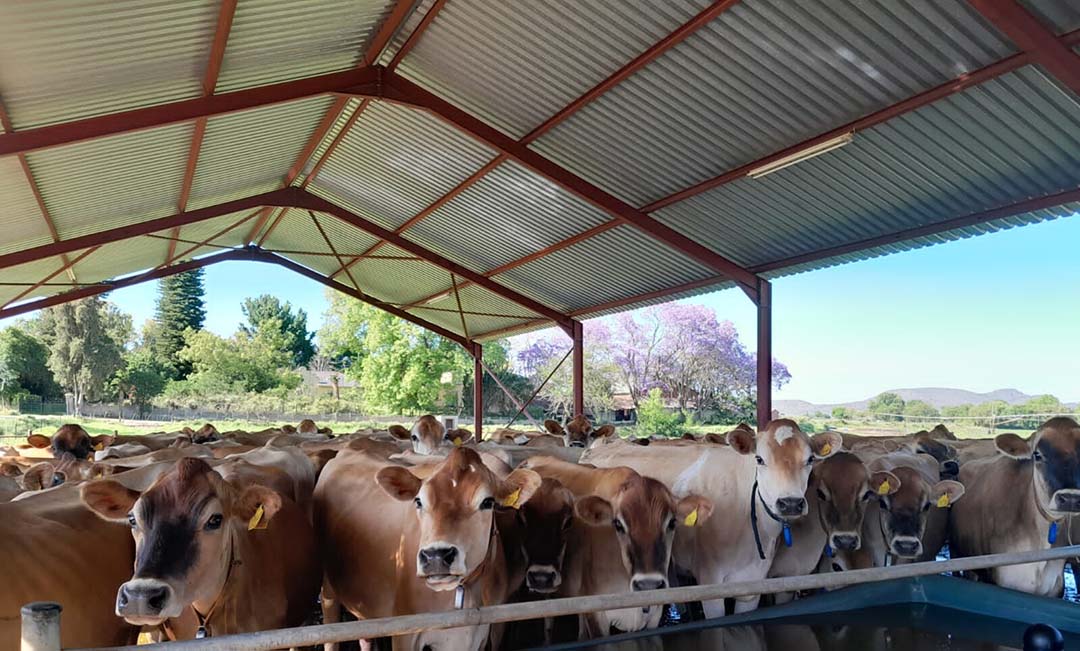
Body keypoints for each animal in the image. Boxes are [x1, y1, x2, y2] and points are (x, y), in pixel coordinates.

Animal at [315, 449, 544, 651]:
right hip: (328, 593)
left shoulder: (479, 633)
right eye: (418, 501)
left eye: (488, 502)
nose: (436, 556)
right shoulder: (404, 634)